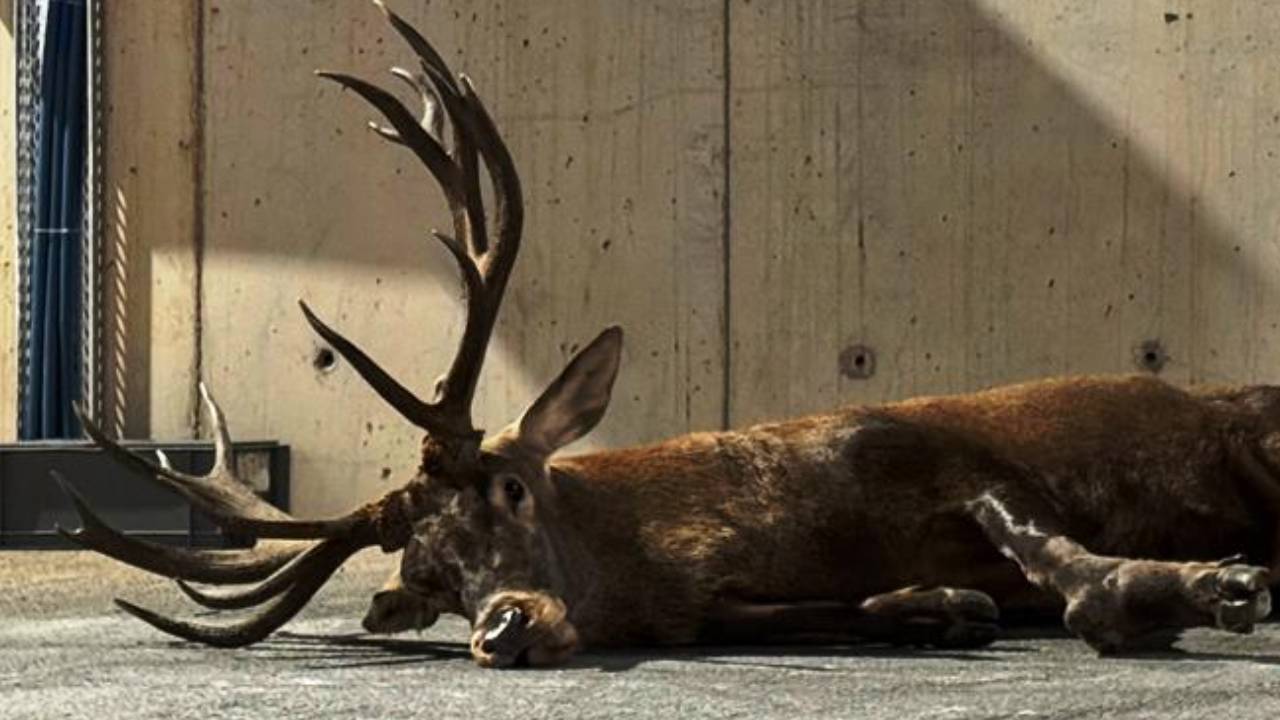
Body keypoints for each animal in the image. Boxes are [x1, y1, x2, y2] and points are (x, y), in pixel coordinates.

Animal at [55, 0, 1274, 666]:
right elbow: (864, 607)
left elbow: (1066, 565)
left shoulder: (932, 451)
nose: (503, 626)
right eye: (428, 576)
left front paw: (1208, 586)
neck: (728, 535)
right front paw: (937, 607)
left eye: (510, 490)